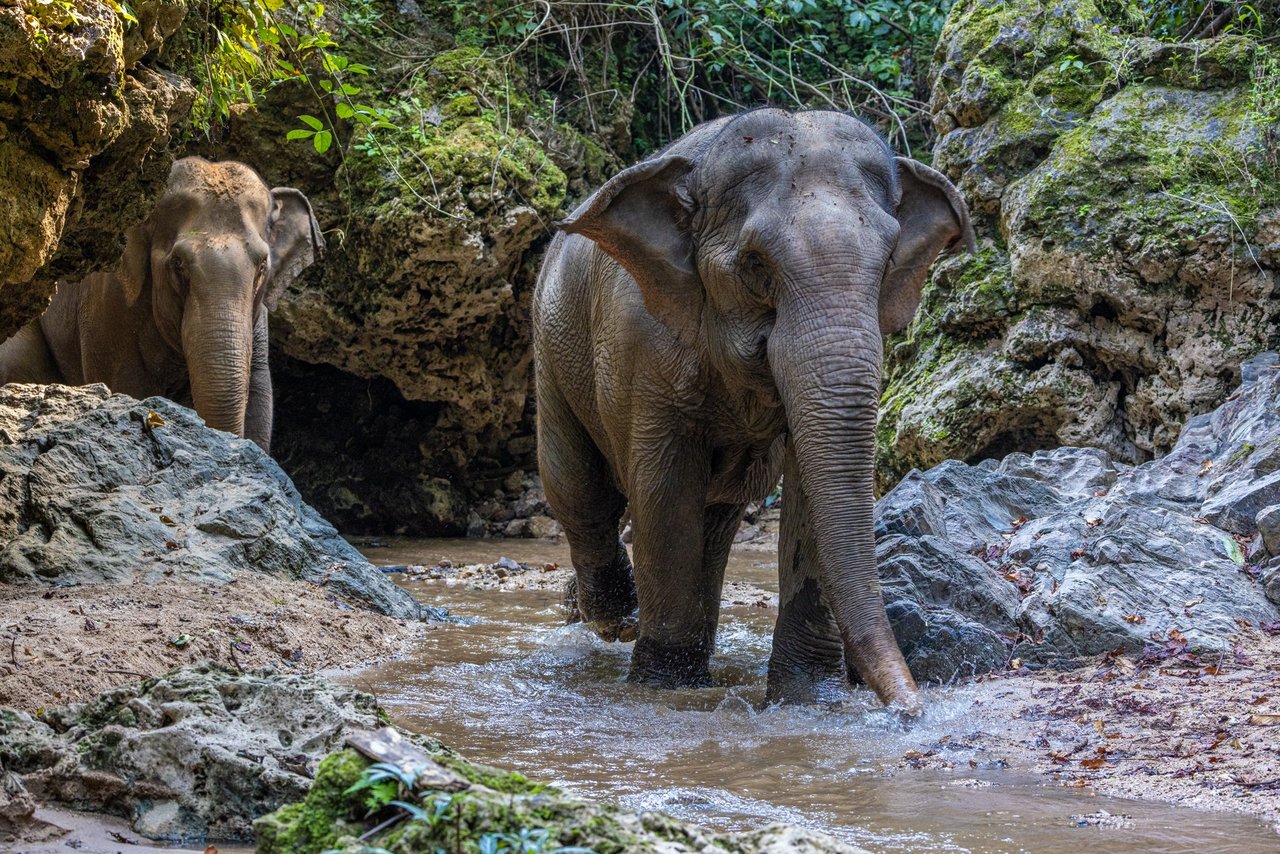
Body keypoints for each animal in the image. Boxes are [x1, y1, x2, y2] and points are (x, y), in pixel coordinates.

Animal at [529, 108, 967, 706]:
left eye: (886, 266)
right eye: (756, 265)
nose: (912, 708)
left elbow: (809, 489)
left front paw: (808, 698)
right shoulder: (642, 342)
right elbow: (664, 489)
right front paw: (663, 688)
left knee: (714, 520)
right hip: (551, 349)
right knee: (579, 489)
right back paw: (612, 617)